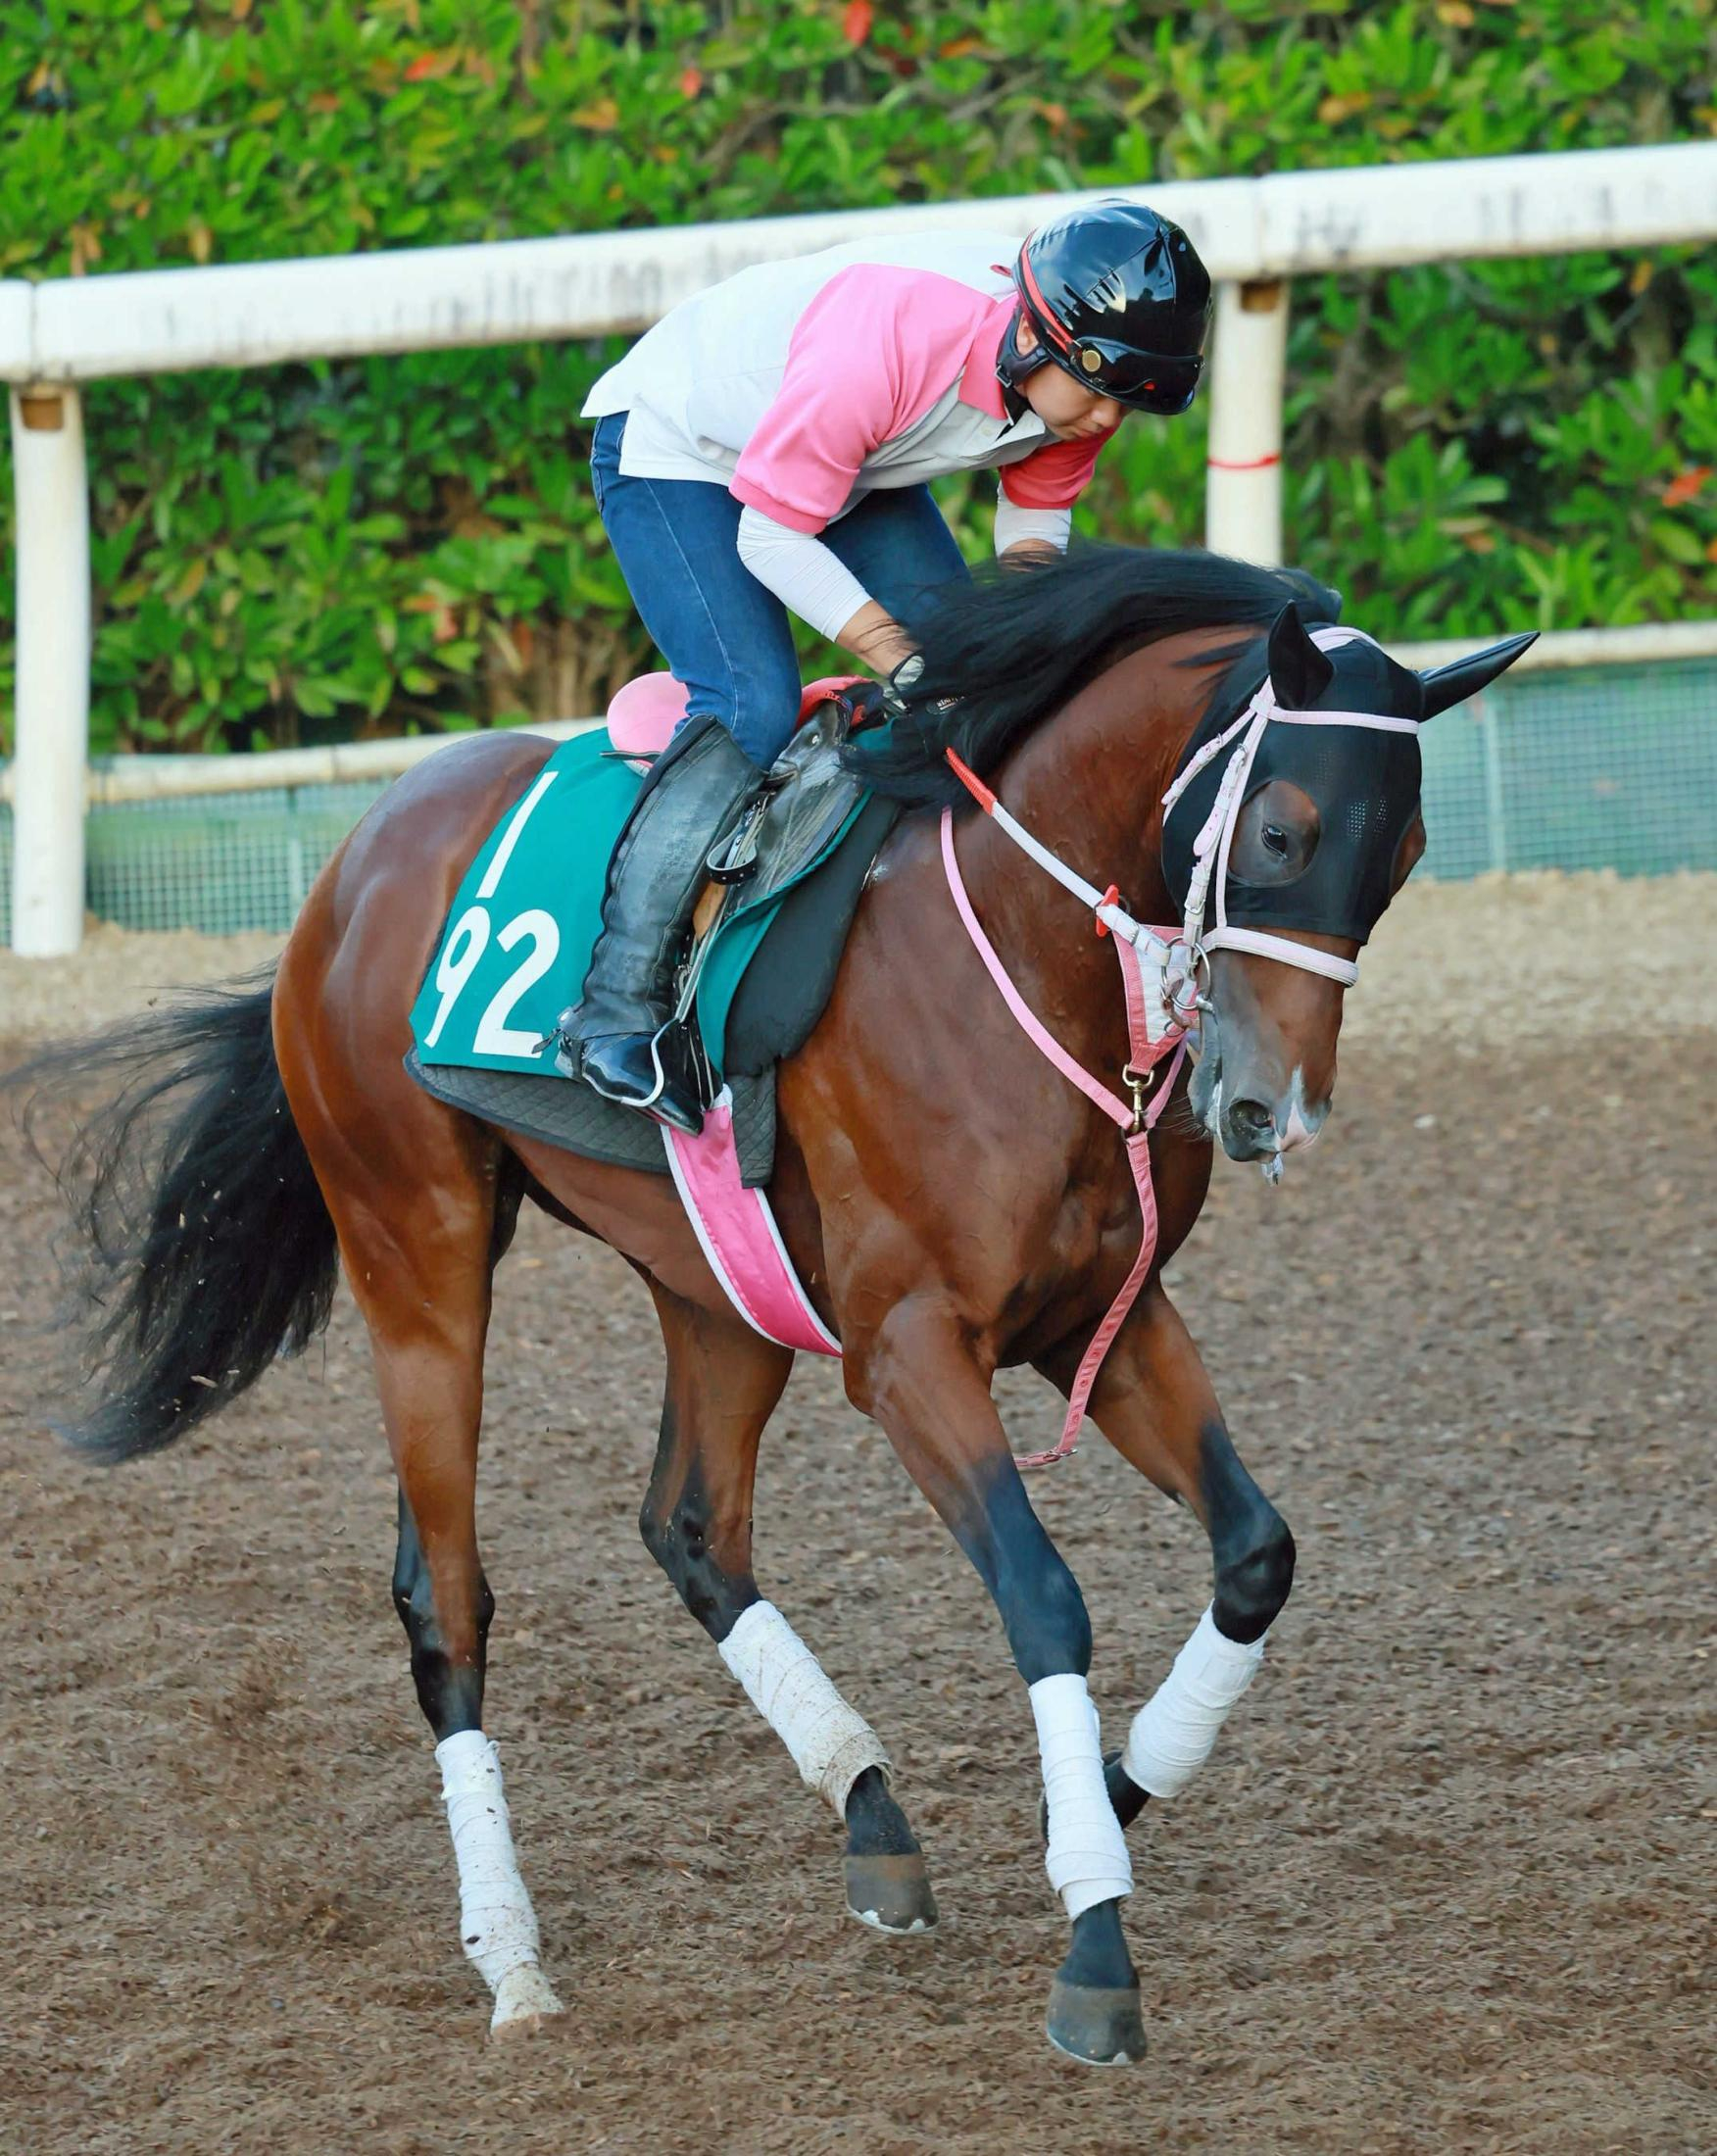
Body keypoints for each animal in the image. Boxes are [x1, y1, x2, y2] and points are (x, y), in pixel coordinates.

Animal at [18, 546, 1531, 2066]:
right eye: (1281, 833)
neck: (1023, 953)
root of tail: (351, 862)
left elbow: (1257, 1552)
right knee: (444, 1595)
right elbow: (1044, 1598)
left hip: (717, 1283)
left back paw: (868, 1809)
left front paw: (1108, 1790)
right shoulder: (910, 1349)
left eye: (1403, 856)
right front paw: (1097, 1936)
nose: (1273, 1107)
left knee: (690, 1524)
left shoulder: (1101, 1315)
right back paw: (512, 1957)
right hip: (417, 1257)